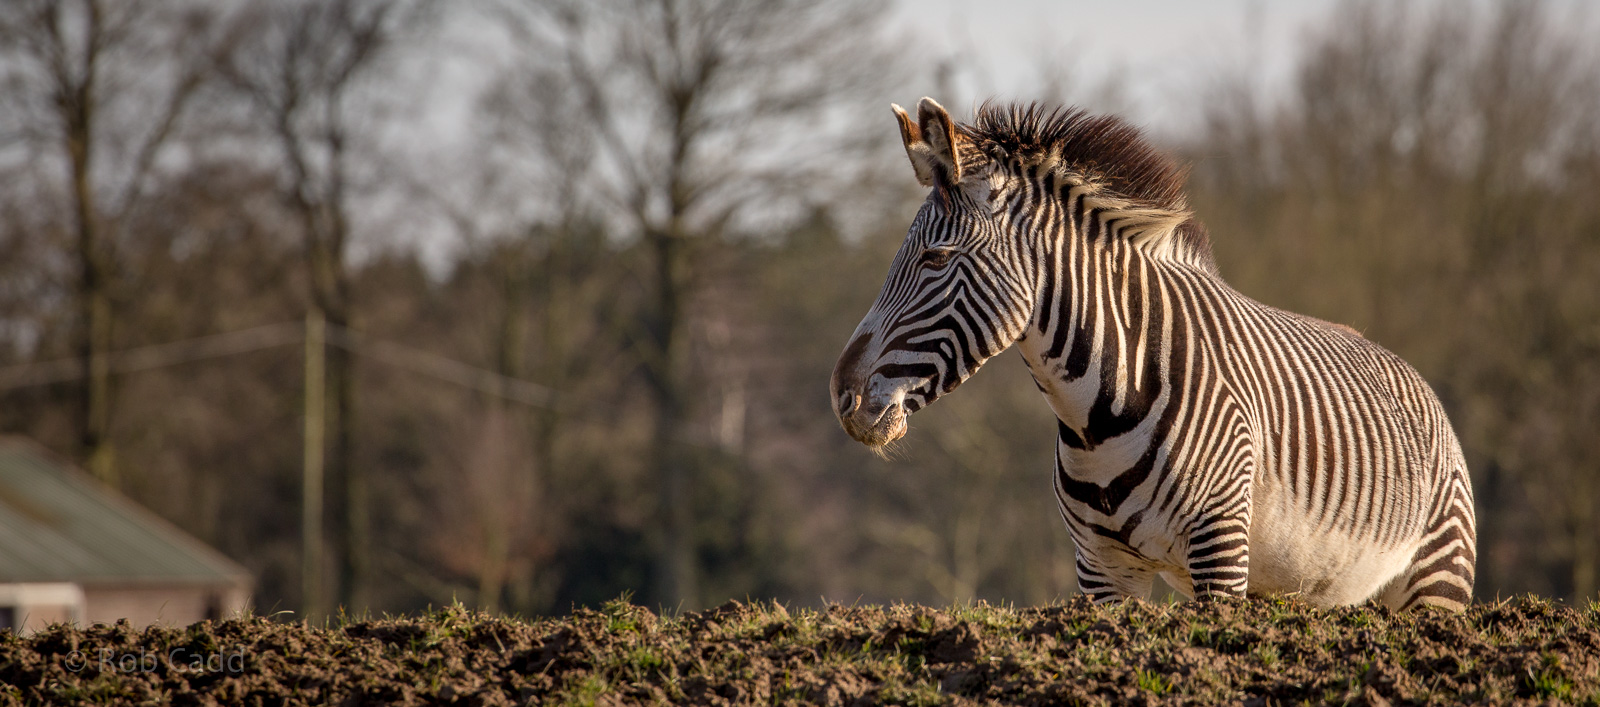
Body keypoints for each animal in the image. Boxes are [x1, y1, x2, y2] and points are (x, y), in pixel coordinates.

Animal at [830, 98, 1476, 610]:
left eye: (935, 259)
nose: (842, 397)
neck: (1096, 417)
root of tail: (1412, 375)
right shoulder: (1102, 571)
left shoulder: (1221, 555)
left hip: (1435, 579)